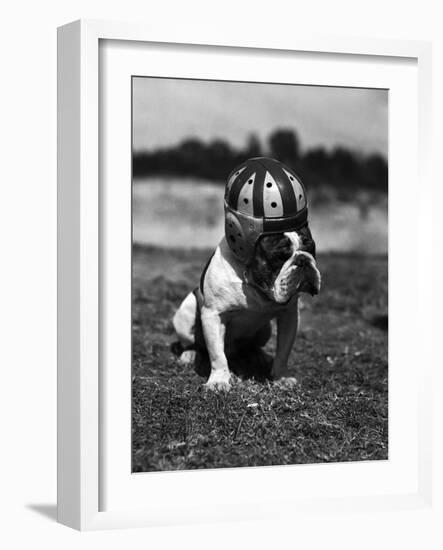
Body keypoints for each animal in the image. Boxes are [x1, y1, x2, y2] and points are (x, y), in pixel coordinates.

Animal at [172, 224, 320, 392]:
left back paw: (259, 356)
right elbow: (217, 354)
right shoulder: (213, 315)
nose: (303, 259)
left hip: (266, 330)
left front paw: (281, 377)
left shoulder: (289, 315)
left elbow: (283, 351)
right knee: (191, 343)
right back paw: (189, 354)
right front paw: (218, 381)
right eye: (279, 257)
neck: (254, 283)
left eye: (311, 248)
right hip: (187, 311)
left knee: (251, 346)